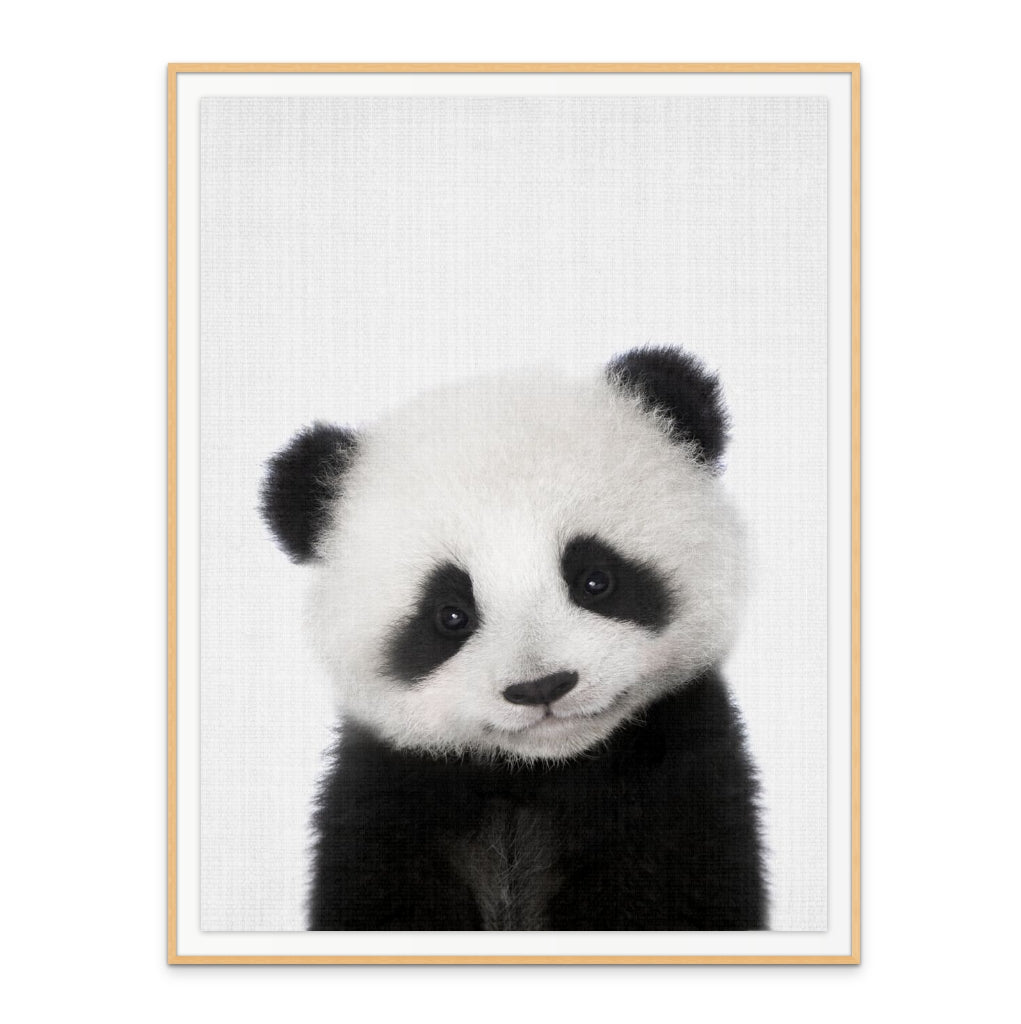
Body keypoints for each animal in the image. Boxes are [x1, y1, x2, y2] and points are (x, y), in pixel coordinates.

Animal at [261, 346, 766, 931]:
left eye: (595, 580)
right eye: (450, 615)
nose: (541, 686)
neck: (536, 774)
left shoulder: (678, 780)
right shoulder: (389, 798)